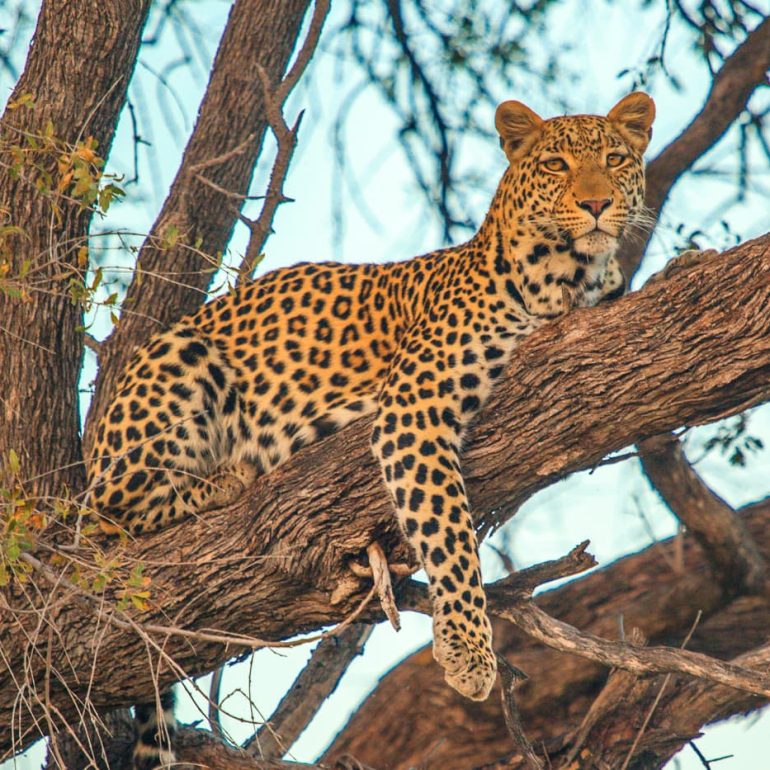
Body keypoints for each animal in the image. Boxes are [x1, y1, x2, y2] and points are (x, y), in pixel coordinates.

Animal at [87, 92, 655, 768]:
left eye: (614, 159)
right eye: (556, 165)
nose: (596, 204)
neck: (575, 276)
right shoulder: (414, 402)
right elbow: (448, 532)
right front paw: (467, 652)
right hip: (178, 364)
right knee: (109, 512)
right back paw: (228, 478)